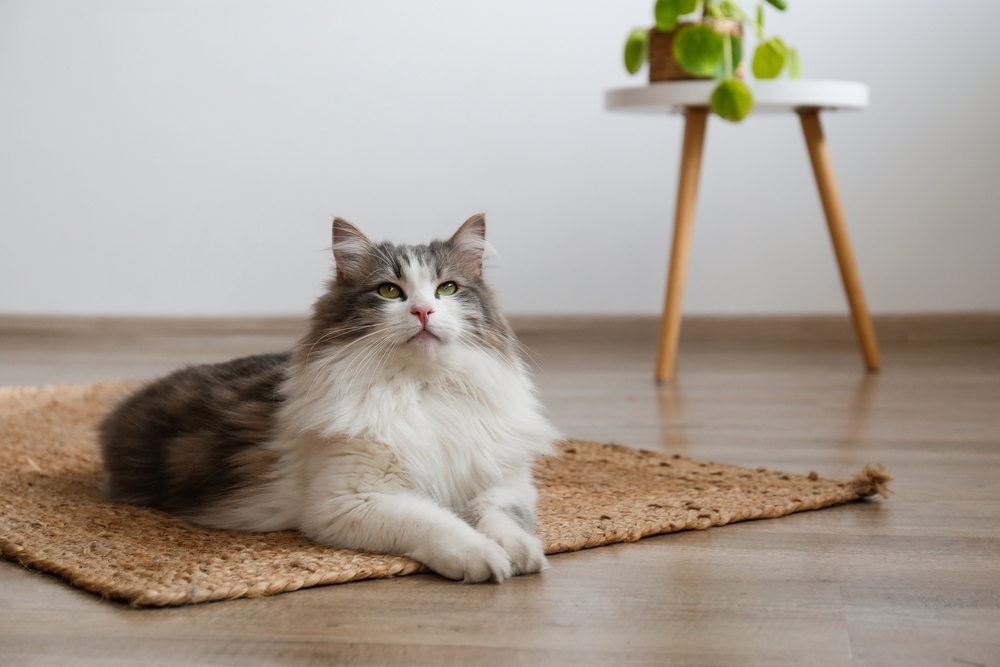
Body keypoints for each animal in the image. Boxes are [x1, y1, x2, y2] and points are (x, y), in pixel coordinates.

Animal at [99, 217, 564, 580]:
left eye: (447, 289)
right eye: (390, 292)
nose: (423, 312)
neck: (421, 388)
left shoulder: (505, 484)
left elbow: (500, 518)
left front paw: (522, 552)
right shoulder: (351, 502)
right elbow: (439, 524)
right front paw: (482, 557)